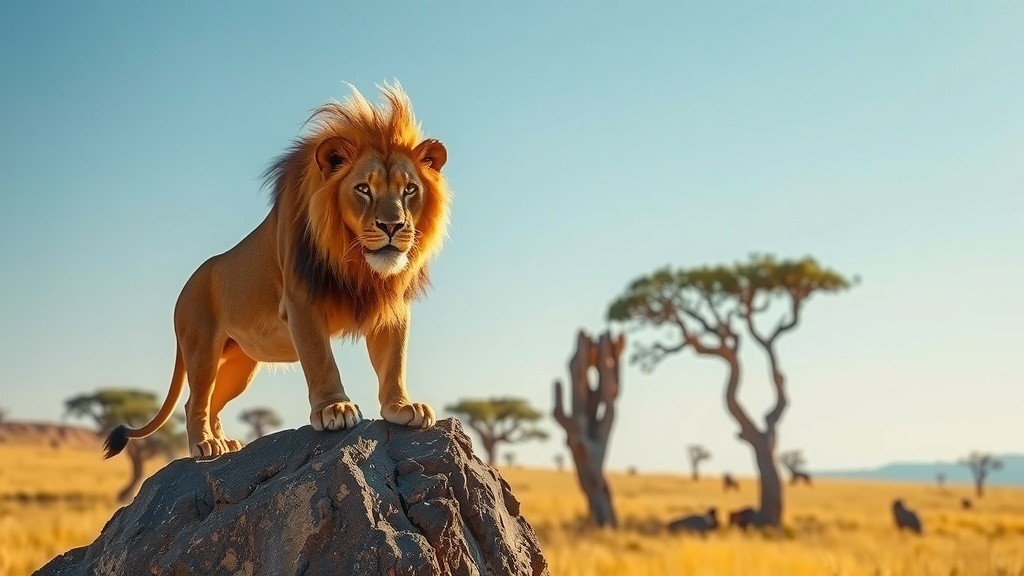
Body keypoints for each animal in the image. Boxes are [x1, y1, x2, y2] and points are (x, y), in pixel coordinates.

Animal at [104, 82, 450, 458]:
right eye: (363, 188)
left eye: (410, 189)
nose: (392, 226)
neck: (357, 263)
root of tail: (186, 286)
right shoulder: (301, 301)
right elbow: (320, 359)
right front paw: (335, 408)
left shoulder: (392, 307)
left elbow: (393, 361)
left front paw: (401, 407)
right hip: (201, 350)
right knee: (194, 401)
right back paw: (204, 444)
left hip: (240, 365)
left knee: (212, 401)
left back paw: (223, 441)